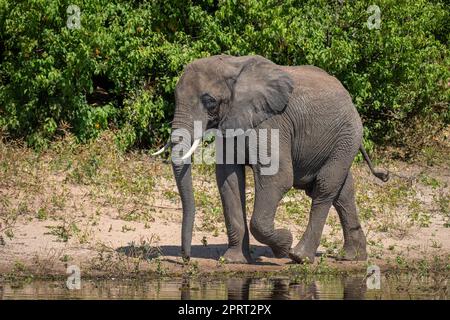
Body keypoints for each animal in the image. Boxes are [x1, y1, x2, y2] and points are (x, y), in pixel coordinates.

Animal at [154, 55, 386, 264]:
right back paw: (353, 257)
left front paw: (284, 244)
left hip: (347, 135)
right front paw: (234, 261)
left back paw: (299, 257)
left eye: (209, 101)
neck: (232, 65)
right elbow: (228, 180)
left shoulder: (271, 123)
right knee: (343, 192)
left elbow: (277, 178)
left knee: (325, 187)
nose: (186, 259)